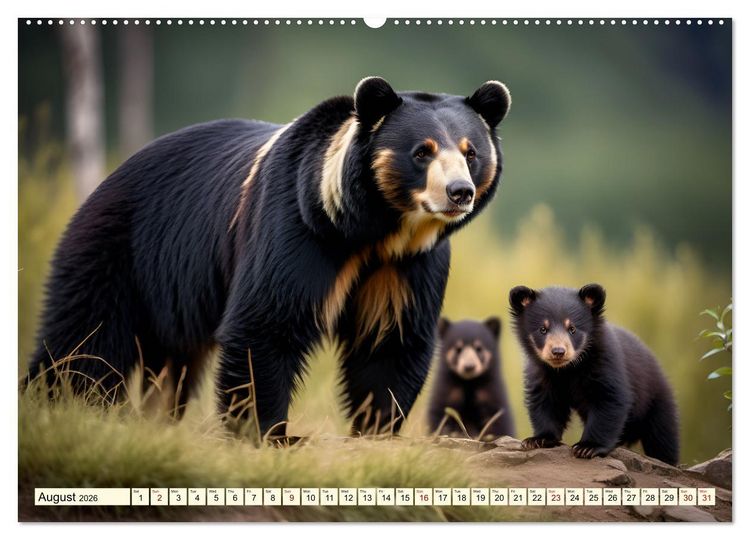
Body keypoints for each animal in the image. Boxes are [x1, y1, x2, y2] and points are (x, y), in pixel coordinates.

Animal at [27, 76, 511, 438]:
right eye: (422, 151)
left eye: (471, 153)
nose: (459, 192)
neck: (373, 230)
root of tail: (109, 177)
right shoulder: (296, 228)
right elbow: (267, 323)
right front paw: (265, 431)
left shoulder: (407, 266)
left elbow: (390, 342)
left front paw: (375, 428)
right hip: (122, 251)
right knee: (84, 340)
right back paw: (58, 407)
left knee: (169, 364)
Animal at [508, 284, 679, 465]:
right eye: (542, 329)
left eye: (572, 329)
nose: (558, 352)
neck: (567, 369)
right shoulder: (542, 373)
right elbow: (546, 402)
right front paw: (537, 440)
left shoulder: (605, 363)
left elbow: (609, 400)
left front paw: (587, 447)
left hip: (657, 402)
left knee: (662, 437)